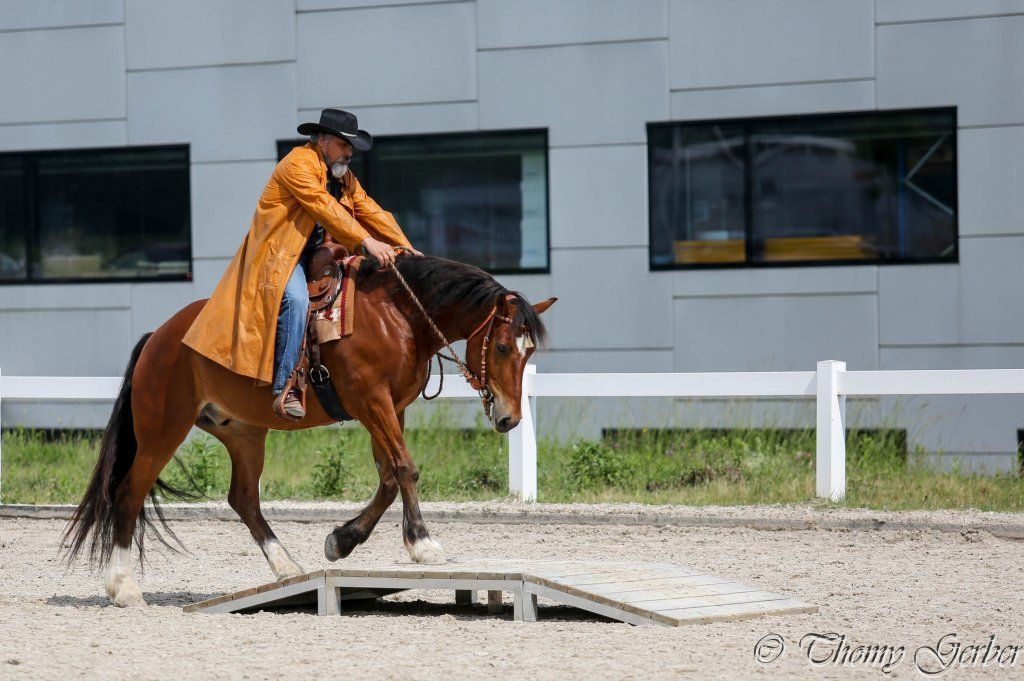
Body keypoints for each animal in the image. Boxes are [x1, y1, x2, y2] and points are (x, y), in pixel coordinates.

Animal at [61, 253, 556, 607]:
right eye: (503, 346)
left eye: (529, 352)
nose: (510, 418)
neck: (397, 315)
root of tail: (160, 337)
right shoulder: (371, 401)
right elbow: (405, 469)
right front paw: (422, 543)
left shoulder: (391, 408)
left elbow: (389, 476)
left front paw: (341, 540)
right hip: (163, 430)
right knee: (128, 493)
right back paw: (124, 587)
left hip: (244, 434)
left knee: (244, 499)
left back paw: (287, 567)